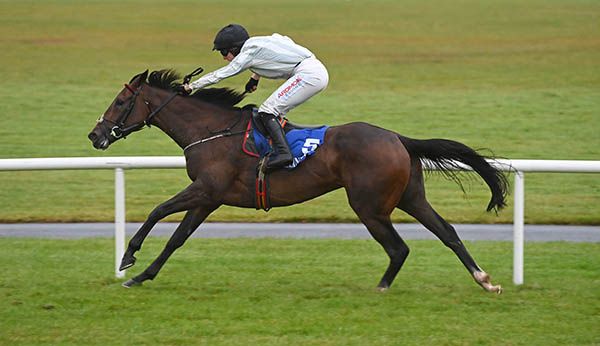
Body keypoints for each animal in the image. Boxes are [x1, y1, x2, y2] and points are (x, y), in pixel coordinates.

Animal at [89, 69, 508, 294]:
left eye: (119, 103)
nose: (95, 136)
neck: (210, 131)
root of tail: (397, 137)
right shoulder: (210, 198)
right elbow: (177, 238)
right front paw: (141, 275)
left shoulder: (206, 188)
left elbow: (157, 211)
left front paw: (128, 257)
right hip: (410, 196)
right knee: (447, 231)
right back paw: (485, 280)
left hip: (370, 205)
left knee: (399, 247)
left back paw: (382, 286)